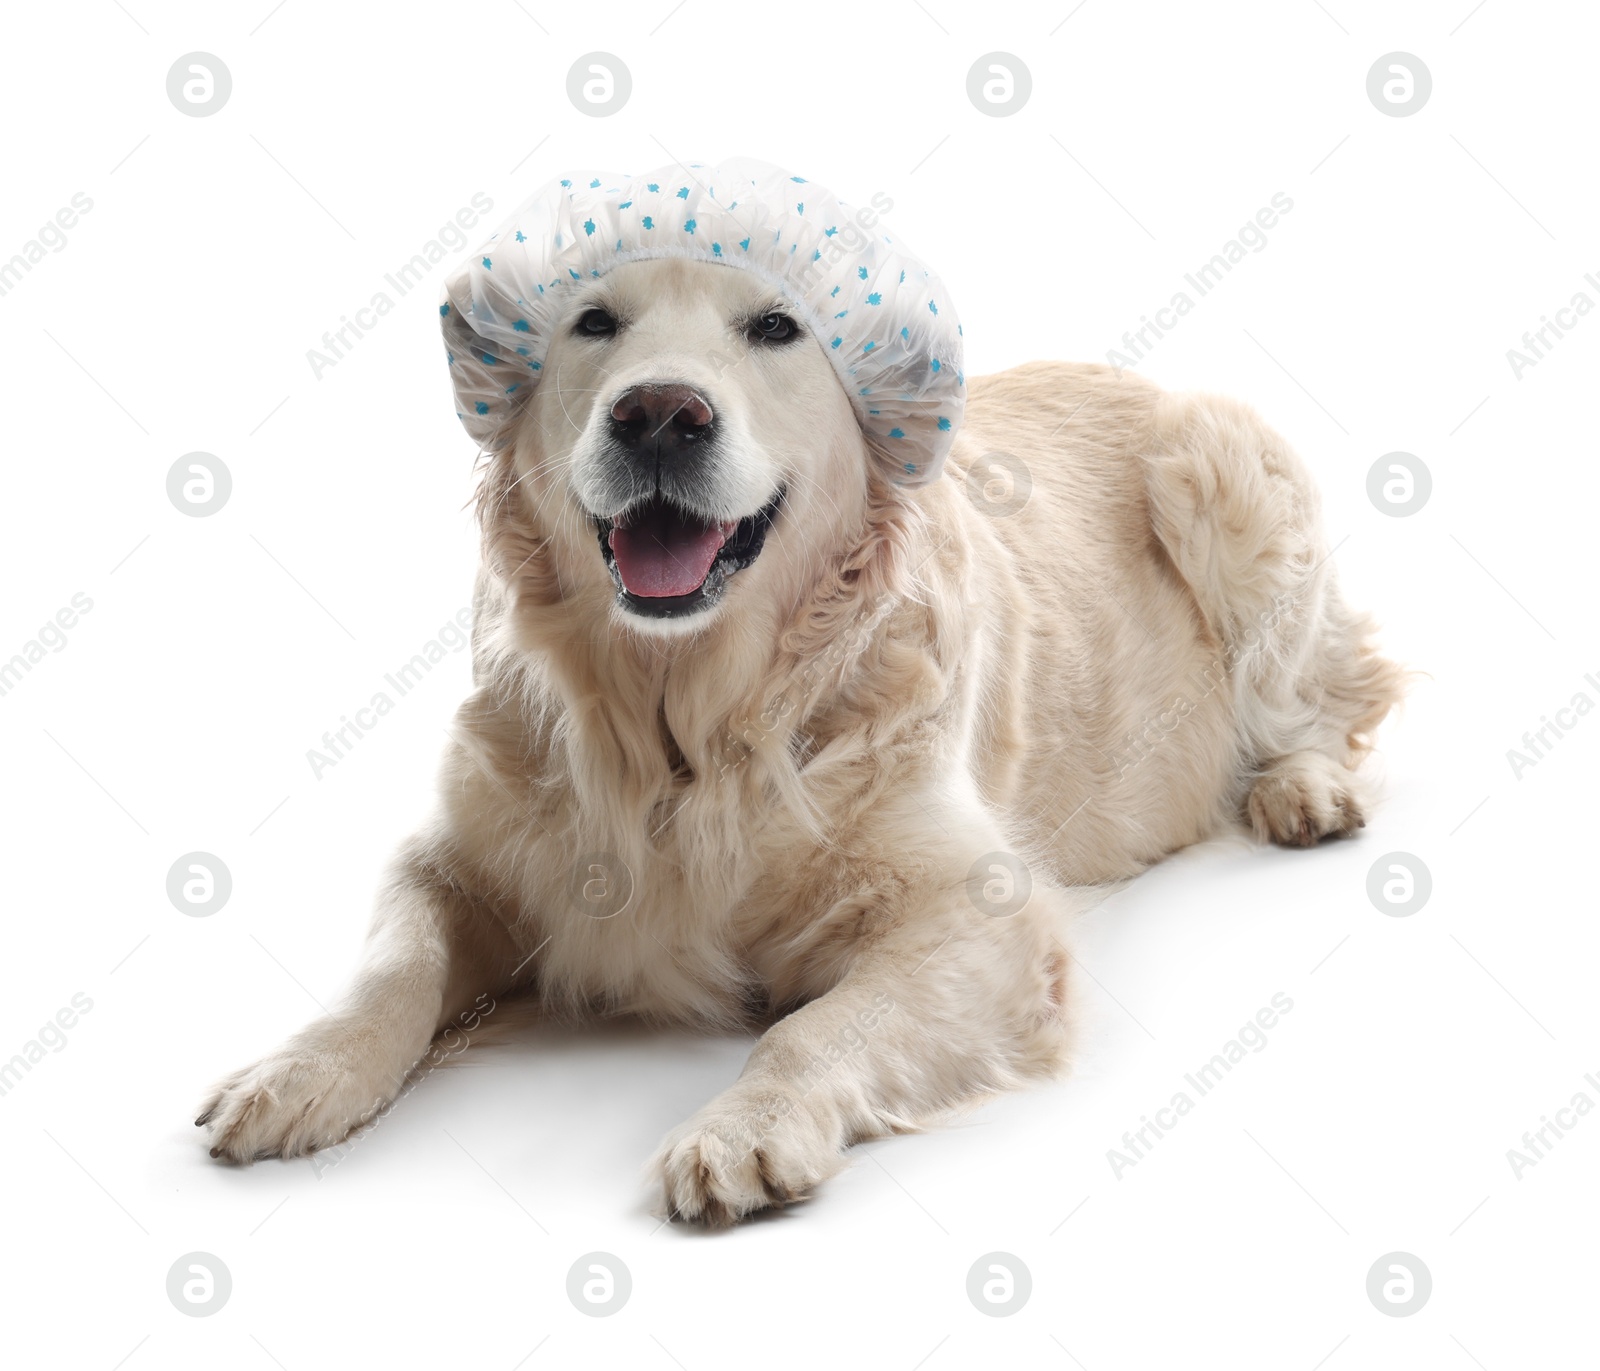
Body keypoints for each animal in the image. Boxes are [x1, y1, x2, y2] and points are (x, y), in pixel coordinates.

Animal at [196, 251, 1401, 1222]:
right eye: (594, 322)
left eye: (775, 327)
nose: (660, 414)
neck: (687, 721)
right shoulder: (455, 857)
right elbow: (391, 966)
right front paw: (296, 1072)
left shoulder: (982, 916)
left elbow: (816, 1027)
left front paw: (742, 1129)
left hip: (1222, 477)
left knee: (1327, 696)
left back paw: (1303, 791)